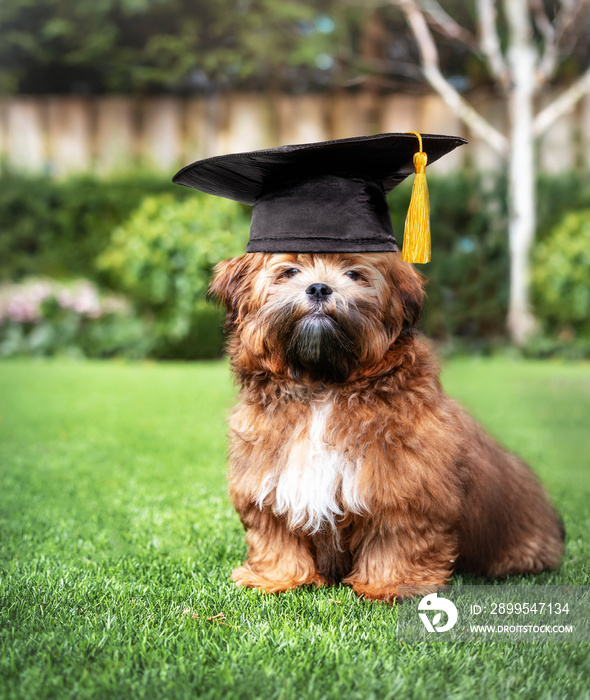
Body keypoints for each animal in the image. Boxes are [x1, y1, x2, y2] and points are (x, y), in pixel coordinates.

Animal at [208, 252, 564, 600]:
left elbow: (396, 537)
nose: (319, 288)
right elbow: (275, 534)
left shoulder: (405, 487)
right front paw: (277, 578)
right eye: (290, 271)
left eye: (354, 274)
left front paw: (391, 584)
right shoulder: (267, 480)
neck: (323, 386)